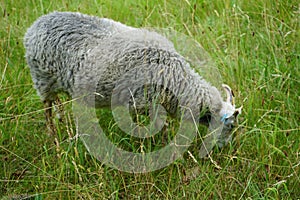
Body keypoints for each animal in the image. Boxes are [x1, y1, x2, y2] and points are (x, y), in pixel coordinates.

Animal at [24, 11, 243, 150]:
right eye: (231, 126)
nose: (223, 148)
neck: (177, 79)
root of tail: (35, 25)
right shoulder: (143, 102)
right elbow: (158, 130)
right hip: (42, 79)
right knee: (47, 109)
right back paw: (53, 137)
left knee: (56, 102)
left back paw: (63, 121)